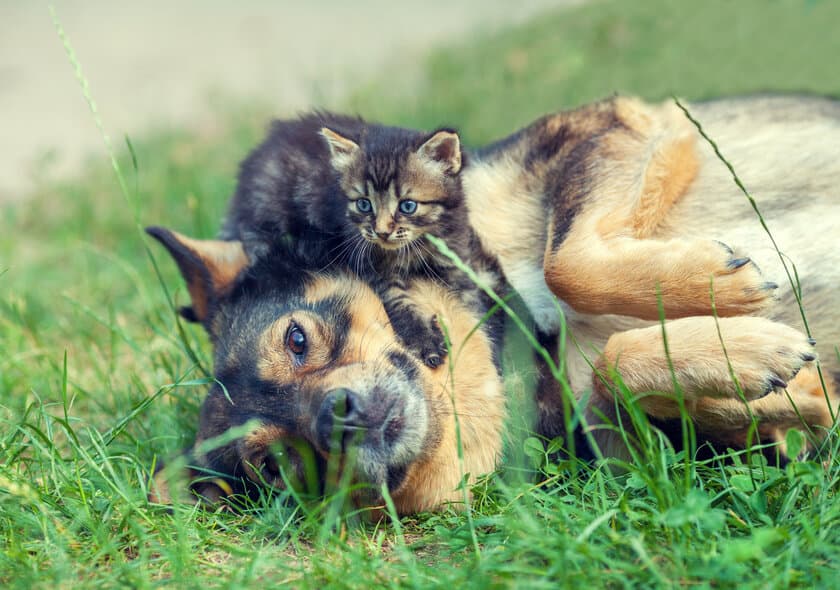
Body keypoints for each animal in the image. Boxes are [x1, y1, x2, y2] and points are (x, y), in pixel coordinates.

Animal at [220, 113, 502, 368]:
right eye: (364, 204)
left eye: (407, 206)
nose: (382, 232)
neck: (416, 246)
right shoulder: (374, 269)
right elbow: (401, 306)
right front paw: (425, 342)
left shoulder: (456, 261)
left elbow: (473, 307)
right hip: (265, 216)